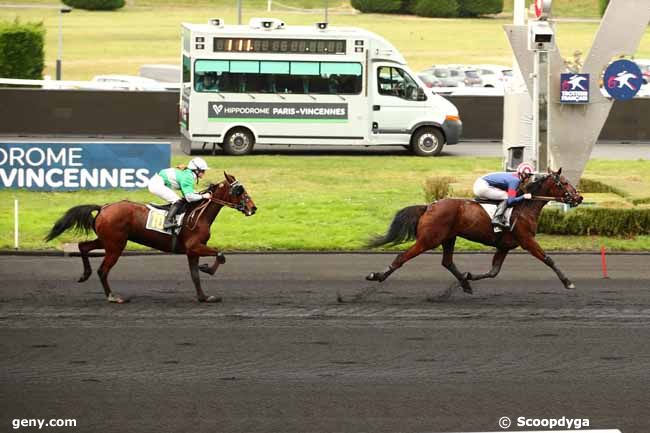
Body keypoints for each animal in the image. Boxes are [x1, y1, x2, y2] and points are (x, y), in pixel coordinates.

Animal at [45, 170, 256, 302]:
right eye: (239, 190)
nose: (253, 208)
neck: (198, 214)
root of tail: (104, 207)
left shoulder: (191, 251)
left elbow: (195, 276)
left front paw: (204, 297)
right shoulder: (194, 246)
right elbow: (220, 255)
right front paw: (208, 269)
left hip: (107, 241)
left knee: (83, 246)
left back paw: (84, 275)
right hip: (115, 245)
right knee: (103, 270)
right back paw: (113, 297)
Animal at [364, 168, 584, 294]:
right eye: (564, 183)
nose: (579, 197)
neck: (525, 208)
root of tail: (429, 206)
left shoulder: (504, 246)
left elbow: (493, 271)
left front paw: (470, 276)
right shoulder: (527, 240)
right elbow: (548, 259)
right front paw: (568, 282)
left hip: (448, 238)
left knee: (447, 262)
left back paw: (465, 283)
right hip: (429, 239)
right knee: (402, 257)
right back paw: (377, 276)